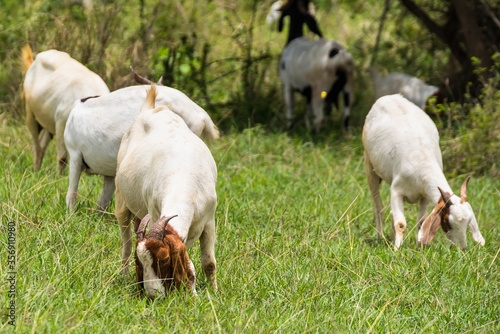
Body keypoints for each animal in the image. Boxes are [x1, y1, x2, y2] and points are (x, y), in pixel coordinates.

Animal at [20, 45, 109, 174]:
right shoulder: (61, 123)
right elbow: (62, 158)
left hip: (48, 122)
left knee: (42, 145)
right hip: (30, 114)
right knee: (37, 147)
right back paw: (35, 171)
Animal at [115, 84, 217, 298]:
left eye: (164, 259)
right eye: (140, 262)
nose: (153, 294)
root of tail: (150, 108)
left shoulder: (209, 219)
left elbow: (209, 263)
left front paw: (214, 292)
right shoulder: (154, 212)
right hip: (121, 199)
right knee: (125, 246)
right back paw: (124, 277)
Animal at [278, 0, 356, 133]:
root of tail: (340, 56)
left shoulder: (288, 85)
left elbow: (290, 108)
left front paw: (290, 129)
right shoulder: (308, 91)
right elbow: (308, 113)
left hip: (320, 90)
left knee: (320, 118)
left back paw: (314, 134)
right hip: (348, 87)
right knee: (346, 118)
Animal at [364, 92, 484, 249]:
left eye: (467, 222)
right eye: (447, 222)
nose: (462, 248)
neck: (422, 163)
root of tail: (388, 97)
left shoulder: (425, 195)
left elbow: (420, 222)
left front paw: (418, 247)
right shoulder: (396, 190)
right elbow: (400, 223)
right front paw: (396, 249)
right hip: (369, 164)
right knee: (378, 207)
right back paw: (380, 237)